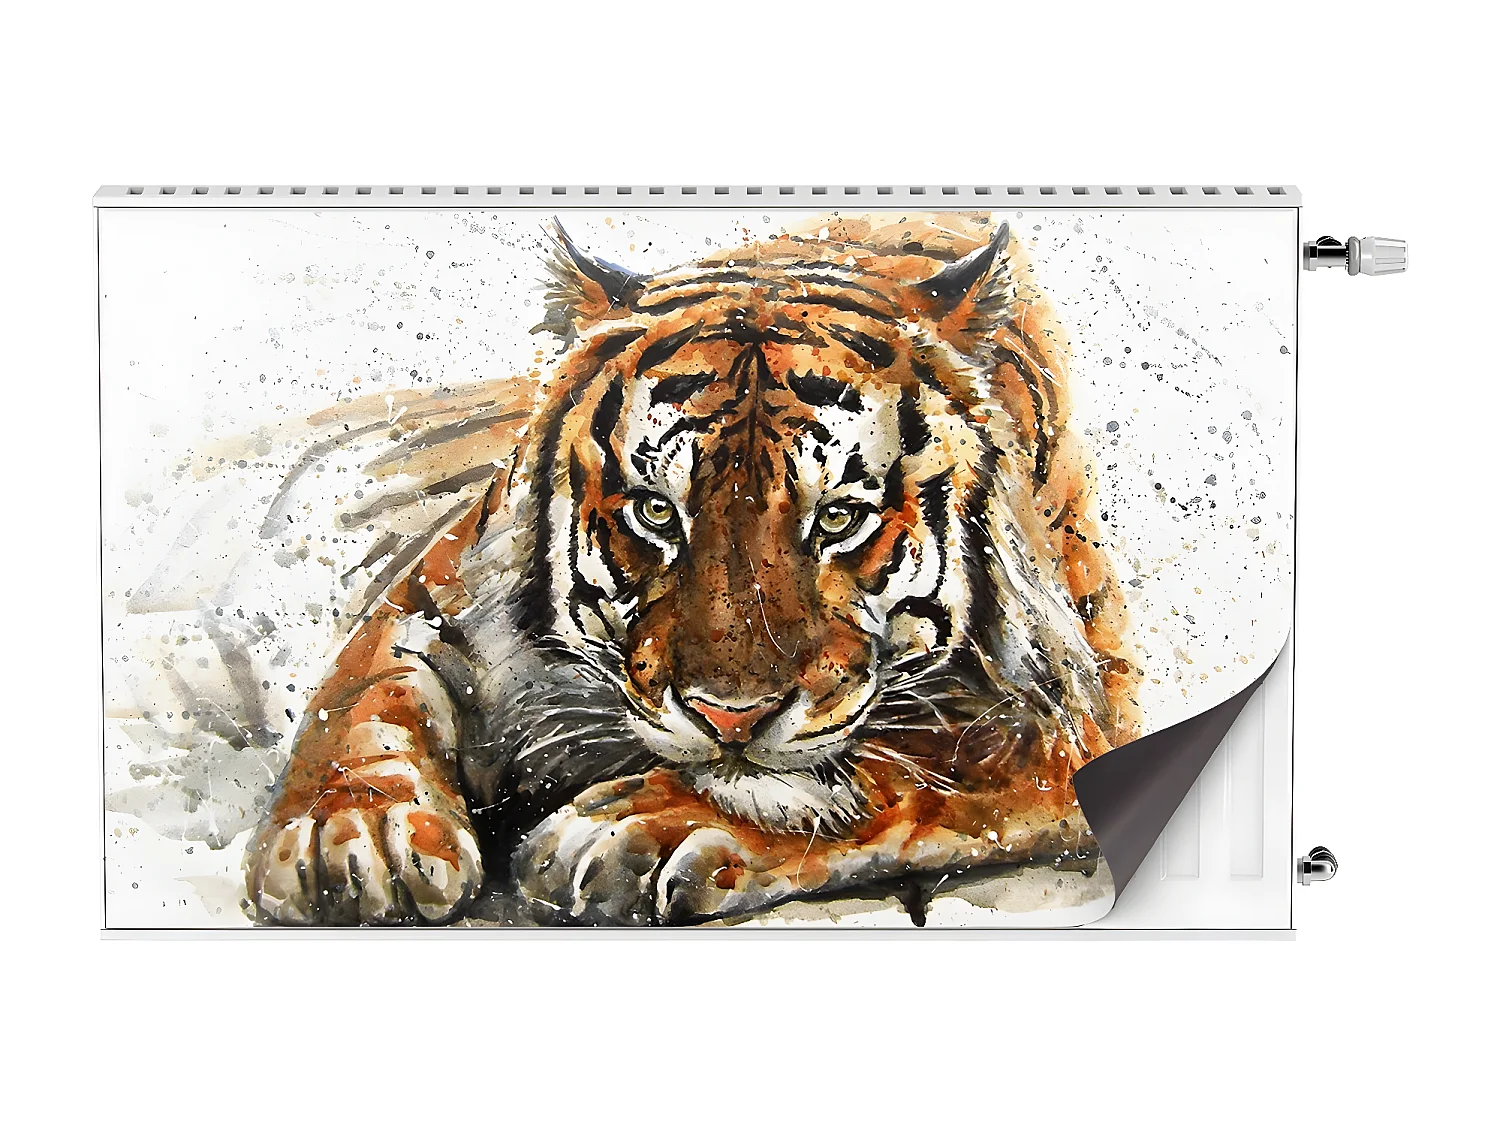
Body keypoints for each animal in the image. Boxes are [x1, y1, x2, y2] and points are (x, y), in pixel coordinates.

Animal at [242, 211, 1140, 926]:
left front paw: (638, 827)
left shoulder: (1072, 716)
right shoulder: (439, 587)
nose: (729, 719)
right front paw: (350, 831)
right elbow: (366, 691)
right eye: (656, 511)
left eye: (838, 518)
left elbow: (900, 766)